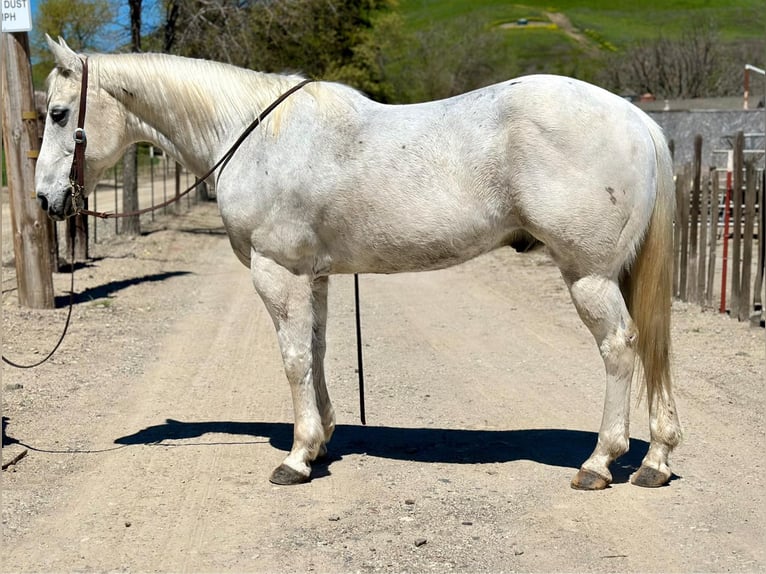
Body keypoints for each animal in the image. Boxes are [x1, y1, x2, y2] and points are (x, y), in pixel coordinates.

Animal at [36, 37, 684, 490]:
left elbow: (294, 359)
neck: (256, 135)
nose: (46, 199)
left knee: (621, 349)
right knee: (651, 348)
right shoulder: (314, 275)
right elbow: (319, 352)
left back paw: (599, 462)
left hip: (588, 275)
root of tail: (636, 118)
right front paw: (321, 440)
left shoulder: (276, 273)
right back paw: (655, 460)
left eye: (60, 113)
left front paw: (297, 458)